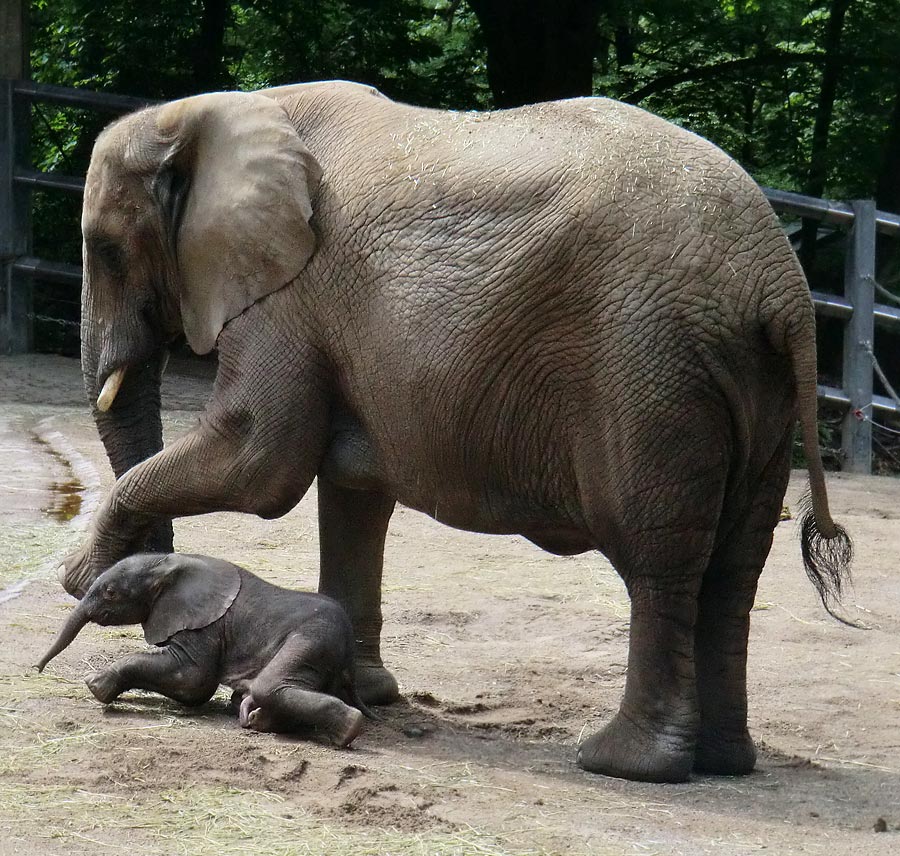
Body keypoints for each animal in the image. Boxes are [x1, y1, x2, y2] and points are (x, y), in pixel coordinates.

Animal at [36, 556, 372, 744]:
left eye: (110, 592)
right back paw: (256, 716)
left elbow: (193, 680)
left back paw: (347, 728)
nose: (36, 669)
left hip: (315, 637)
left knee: (268, 686)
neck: (169, 564)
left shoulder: (205, 626)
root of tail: (350, 655)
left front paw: (95, 684)